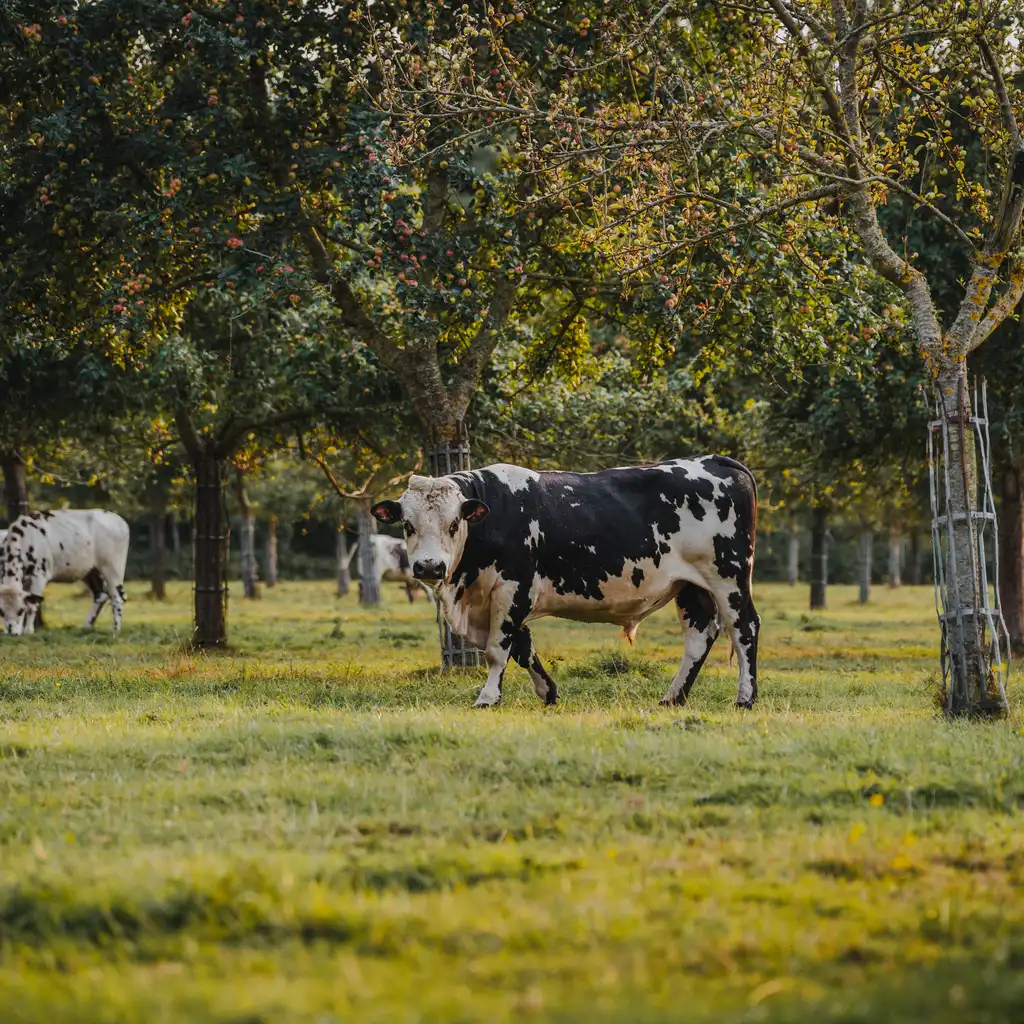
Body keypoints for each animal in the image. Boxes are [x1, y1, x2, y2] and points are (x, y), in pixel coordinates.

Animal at [0, 510, 130, 635]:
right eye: (1, 611)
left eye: (20, 610)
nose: (12, 633)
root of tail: (118, 519)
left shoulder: (40, 575)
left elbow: (32, 604)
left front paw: (28, 631)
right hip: (91, 571)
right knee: (100, 595)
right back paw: (87, 626)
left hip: (112, 567)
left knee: (118, 598)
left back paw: (115, 630)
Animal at [371, 458, 759, 709]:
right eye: (407, 524)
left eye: (454, 524)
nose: (429, 565)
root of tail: (717, 461)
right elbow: (523, 647)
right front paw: (548, 693)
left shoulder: (513, 588)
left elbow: (499, 648)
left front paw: (488, 697)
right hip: (690, 585)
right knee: (700, 634)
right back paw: (673, 697)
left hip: (728, 577)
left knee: (744, 628)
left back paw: (745, 697)